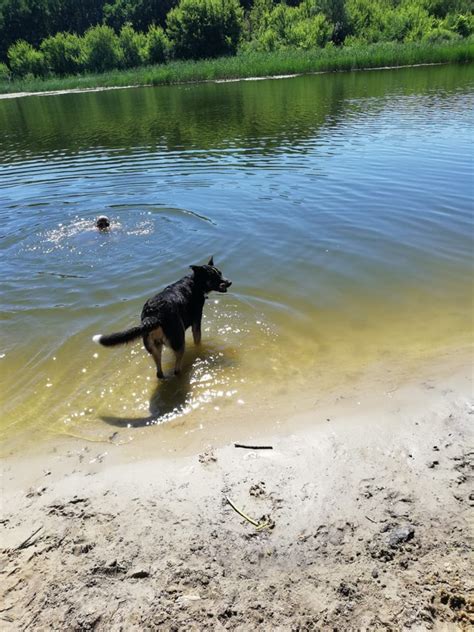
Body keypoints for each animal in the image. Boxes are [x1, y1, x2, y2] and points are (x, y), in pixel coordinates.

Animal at [92, 256, 231, 378]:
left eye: (220, 273)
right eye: (214, 276)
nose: (229, 282)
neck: (194, 282)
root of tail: (153, 315)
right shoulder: (196, 322)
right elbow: (198, 342)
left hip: (154, 347)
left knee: (159, 373)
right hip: (179, 341)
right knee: (176, 370)